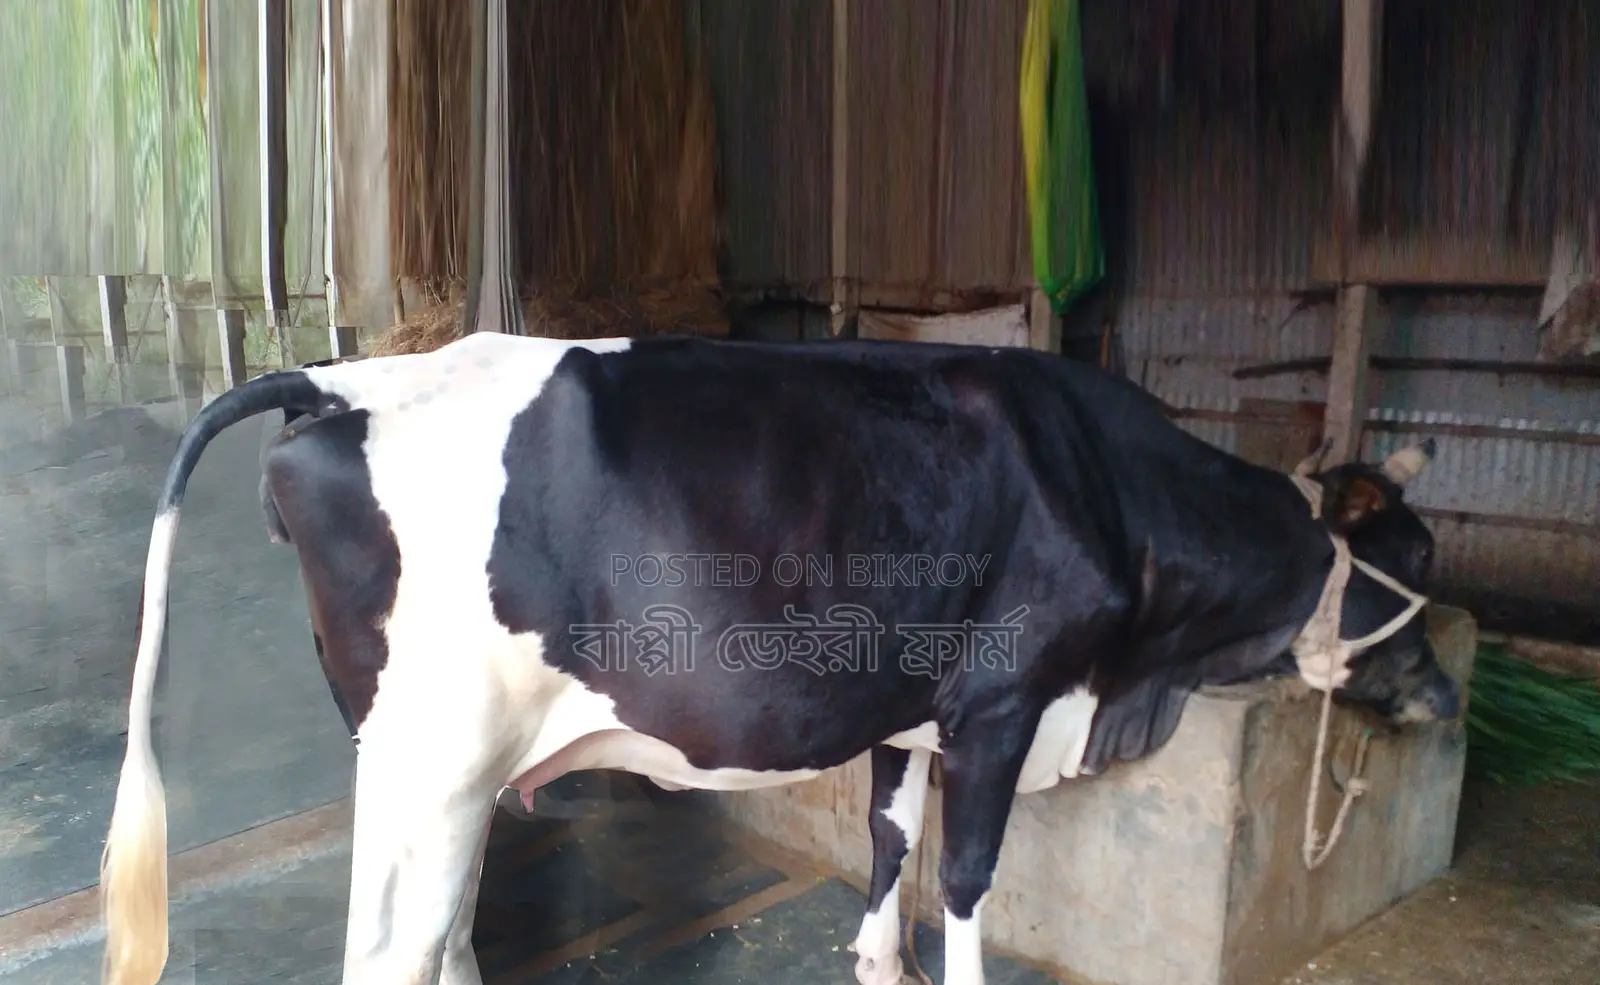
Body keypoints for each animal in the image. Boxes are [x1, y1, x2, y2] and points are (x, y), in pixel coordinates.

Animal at [99, 331, 1460, 985]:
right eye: (1418, 555)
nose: (1451, 698)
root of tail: (344, 378)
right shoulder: (1004, 700)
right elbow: (970, 876)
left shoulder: (912, 706)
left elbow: (892, 839)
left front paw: (877, 963)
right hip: (436, 756)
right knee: (393, 950)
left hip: (425, 763)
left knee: (442, 932)